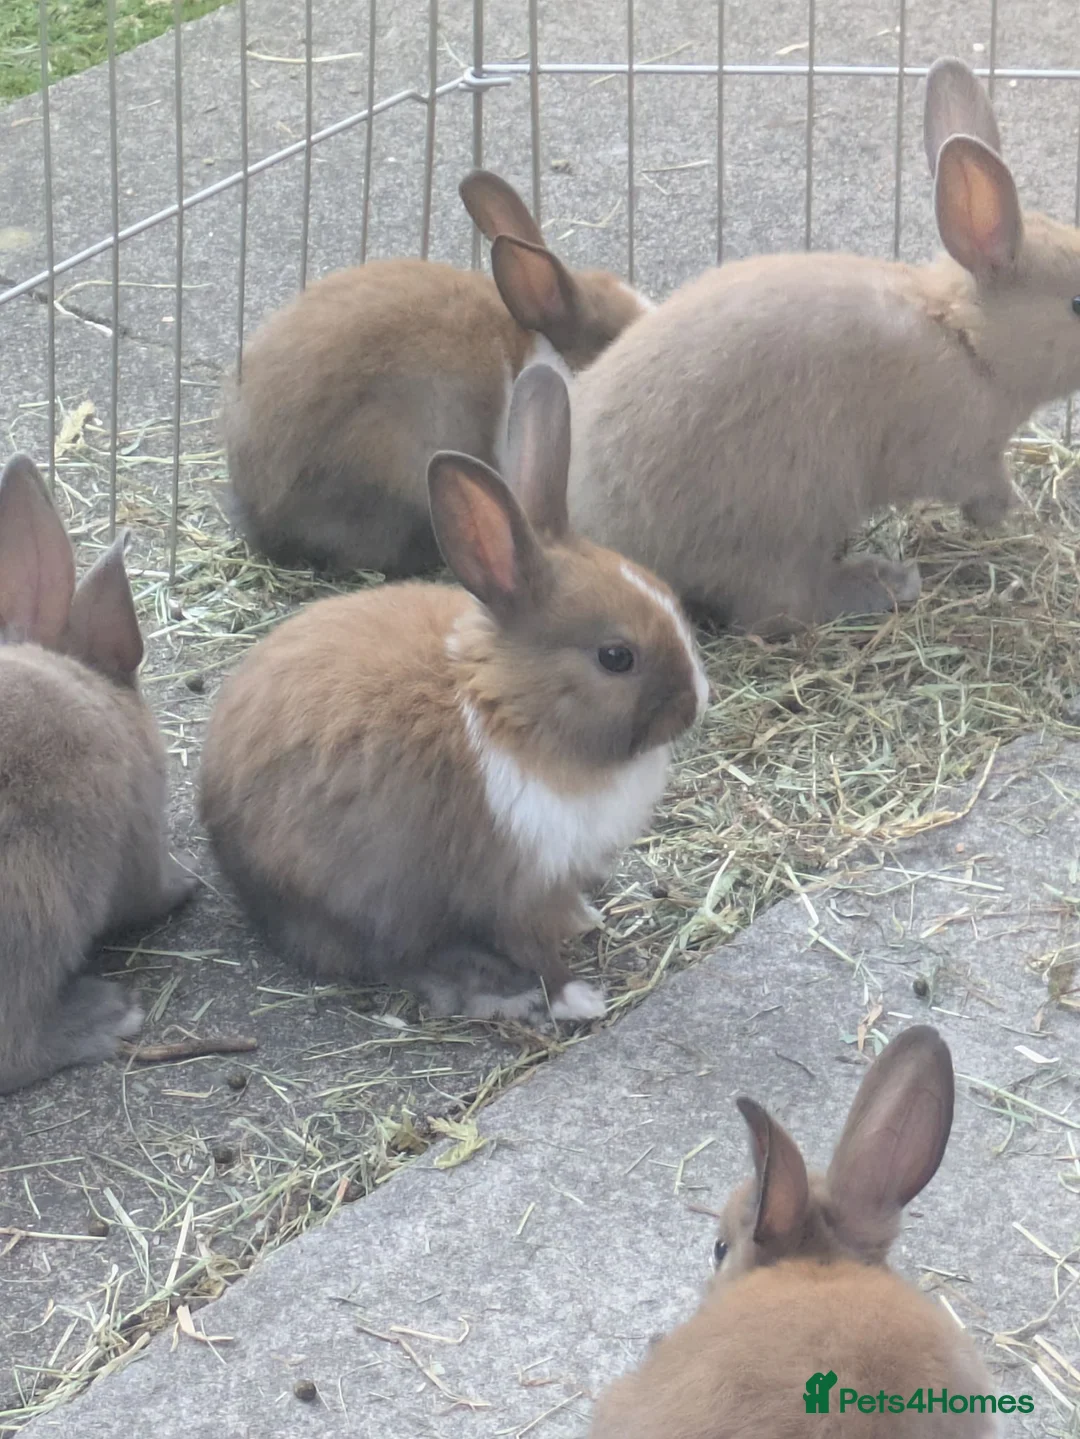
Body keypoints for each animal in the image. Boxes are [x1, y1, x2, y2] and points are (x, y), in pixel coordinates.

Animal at [200, 364, 708, 1022]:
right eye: (615, 658)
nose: (695, 705)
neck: (511, 710)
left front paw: (584, 919)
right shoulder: (510, 882)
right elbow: (531, 946)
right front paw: (578, 999)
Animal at [568, 57, 1080, 636]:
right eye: (1078, 304)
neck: (963, 338)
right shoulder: (960, 453)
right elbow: (981, 484)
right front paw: (1010, 509)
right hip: (780, 523)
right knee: (780, 607)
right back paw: (886, 582)